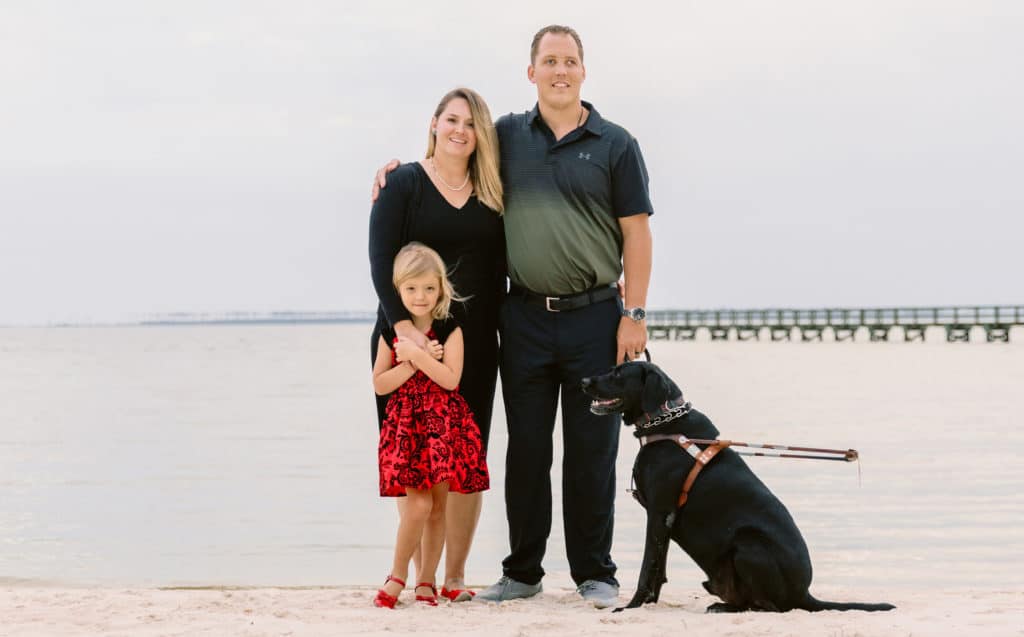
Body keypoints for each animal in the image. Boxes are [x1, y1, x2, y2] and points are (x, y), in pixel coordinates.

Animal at [581, 360, 892, 614]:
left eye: (618, 373)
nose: (584, 381)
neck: (666, 423)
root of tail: (804, 594)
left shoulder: (659, 513)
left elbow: (648, 567)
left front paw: (631, 607)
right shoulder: (664, 520)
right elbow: (659, 567)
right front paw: (648, 604)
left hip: (748, 544)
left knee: (770, 606)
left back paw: (729, 608)